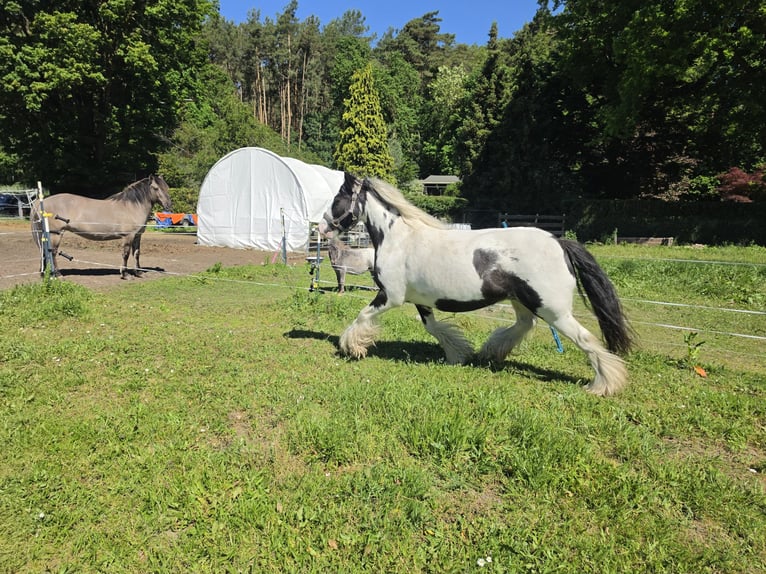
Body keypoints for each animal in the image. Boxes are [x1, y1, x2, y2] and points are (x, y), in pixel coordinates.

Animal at [31, 174, 172, 279]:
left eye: (167, 187)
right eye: (155, 188)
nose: (169, 205)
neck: (132, 207)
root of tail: (40, 201)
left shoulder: (137, 236)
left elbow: (136, 254)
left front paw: (139, 272)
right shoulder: (128, 237)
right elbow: (126, 254)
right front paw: (125, 274)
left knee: (44, 251)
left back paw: (45, 273)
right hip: (55, 234)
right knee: (52, 252)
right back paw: (58, 274)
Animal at [319, 172, 634, 396]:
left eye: (337, 199)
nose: (321, 228)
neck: (398, 240)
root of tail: (559, 242)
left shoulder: (390, 296)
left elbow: (362, 315)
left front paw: (351, 347)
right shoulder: (420, 301)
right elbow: (434, 328)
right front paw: (458, 354)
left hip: (553, 310)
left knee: (585, 339)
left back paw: (604, 384)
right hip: (522, 301)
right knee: (524, 325)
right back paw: (490, 351)